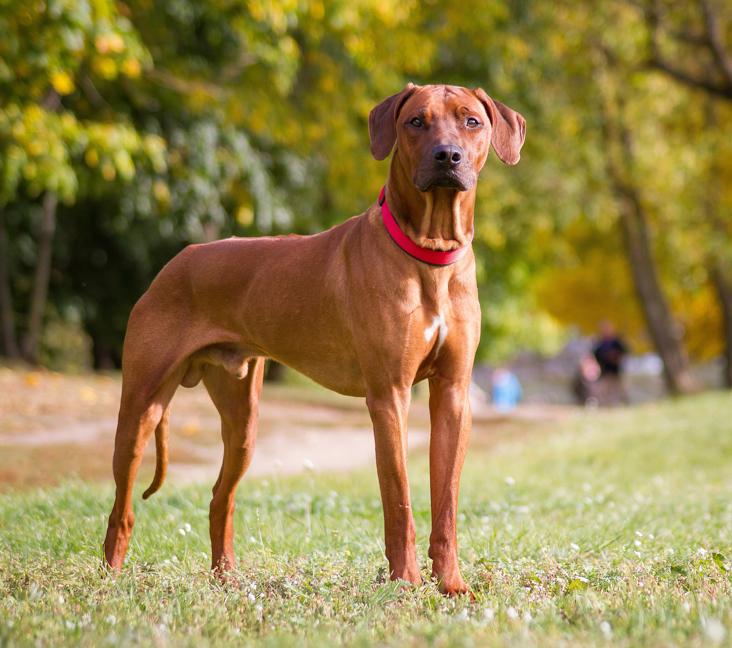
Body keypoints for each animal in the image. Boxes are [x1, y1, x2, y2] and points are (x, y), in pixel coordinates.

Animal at [104, 82, 528, 596]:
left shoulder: (453, 394)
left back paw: (226, 580)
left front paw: (450, 584)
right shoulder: (389, 396)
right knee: (122, 507)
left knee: (220, 498)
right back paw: (110, 579)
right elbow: (400, 501)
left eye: (472, 121)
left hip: (243, 420)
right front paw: (405, 582)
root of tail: (175, 262)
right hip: (141, 406)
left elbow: (445, 502)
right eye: (416, 122)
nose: (447, 156)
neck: (429, 256)